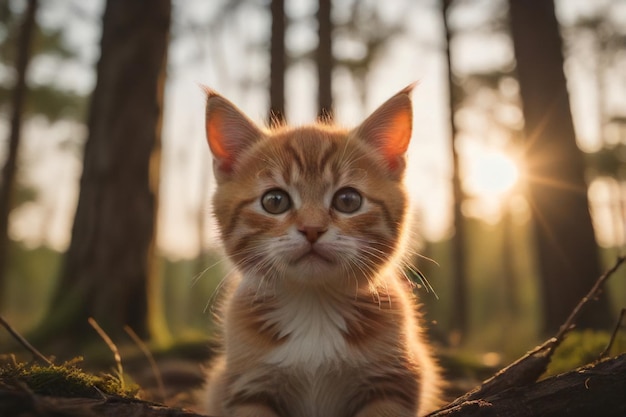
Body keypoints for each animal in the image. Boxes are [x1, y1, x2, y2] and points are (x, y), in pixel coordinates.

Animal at [199, 85, 438, 416]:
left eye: (348, 200)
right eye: (274, 201)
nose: (312, 229)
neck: (314, 305)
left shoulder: (396, 384)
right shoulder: (245, 387)